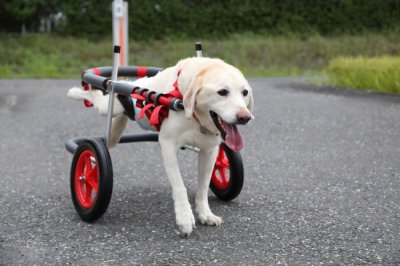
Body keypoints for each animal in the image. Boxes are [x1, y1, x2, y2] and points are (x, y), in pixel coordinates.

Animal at [66, 57, 253, 236]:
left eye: (244, 93)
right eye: (222, 92)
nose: (245, 117)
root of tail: (134, 82)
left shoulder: (210, 151)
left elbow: (203, 187)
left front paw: (205, 214)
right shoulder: (168, 145)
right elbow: (180, 187)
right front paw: (185, 218)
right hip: (110, 106)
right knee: (96, 96)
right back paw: (77, 92)